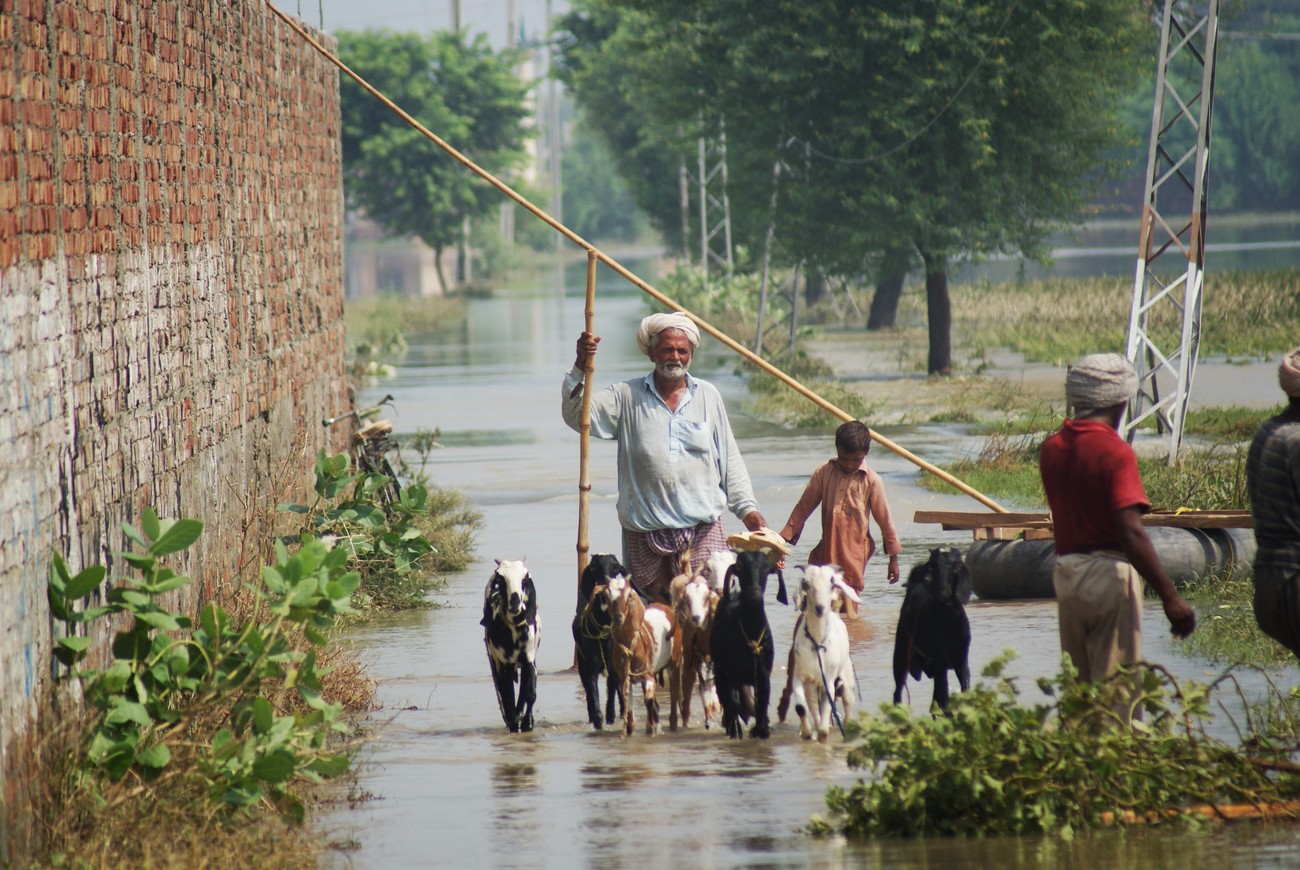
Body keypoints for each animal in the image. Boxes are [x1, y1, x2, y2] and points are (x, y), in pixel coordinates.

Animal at [483, 556, 538, 733]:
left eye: (524, 578)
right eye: (500, 579)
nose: (515, 603)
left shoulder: (529, 662)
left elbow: (529, 694)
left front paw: (527, 723)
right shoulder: (502, 666)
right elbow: (507, 697)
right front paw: (514, 724)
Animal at [572, 553, 626, 728]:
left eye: (616, 567)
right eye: (594, 568)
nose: (605, 591)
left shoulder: (614, 667)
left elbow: (613, 690)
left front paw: (611, 715)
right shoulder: (589, 668)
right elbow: (593, 696)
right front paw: (598, 719)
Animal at [707, 546, 785, 738]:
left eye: (766, 568)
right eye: (741, 568)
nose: (754, 594)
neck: (751, 634)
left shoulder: (763, 674)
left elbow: (761, 704)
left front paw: (761, 730)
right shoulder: (731, 673)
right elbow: (733, 702)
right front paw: (735, 731)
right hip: (721, 670)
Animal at [785, 564, 857, 738]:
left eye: (831, 583)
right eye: (806, 584)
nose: (820, 608)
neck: (817, 643)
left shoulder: (828, 682)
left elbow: (824, 727)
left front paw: (822, 733)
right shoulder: (801, 676)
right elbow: (801, 708)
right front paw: (806, 732)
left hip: (846, 679)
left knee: (847, 702)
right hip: (812, 686)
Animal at [894, 546, 977, 707]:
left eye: (955, 567)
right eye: (933, 566)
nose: (942, 592)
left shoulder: (961, 660)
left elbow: (964, 688)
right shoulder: (940, 664)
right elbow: (942, 698)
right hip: (901, 655)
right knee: (898, 691)